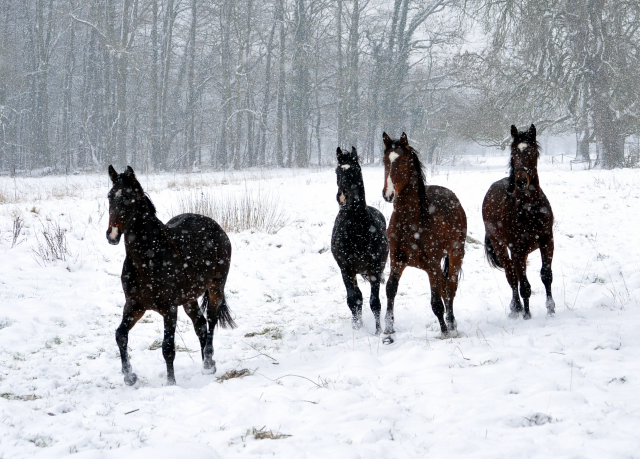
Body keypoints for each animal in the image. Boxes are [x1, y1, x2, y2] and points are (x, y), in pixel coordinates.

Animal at [106, 167, 236, 386]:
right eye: (110, 196)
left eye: (130, 198)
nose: (112, 235)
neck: (149, 260)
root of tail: (216, 227)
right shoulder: (134, 304)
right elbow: (120, 335)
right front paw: (129, 376)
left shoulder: (169, 308)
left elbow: (167, 347)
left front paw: (170, 383)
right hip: (189, 298)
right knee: (200, 325)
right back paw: (206, 364)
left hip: (216, 287)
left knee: (211, 320)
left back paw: (208, 363)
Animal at [332, 147, 388, 334]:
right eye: (337, 171)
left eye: (356, 170)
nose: (342, 197)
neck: (357, 231)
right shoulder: (346, 269)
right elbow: (353, 300)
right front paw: (356, 327)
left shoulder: (375, 269)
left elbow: (375, 302)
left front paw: (378, 331)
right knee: (358, 298)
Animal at [382, 131, 468, 344]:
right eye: (385, 161)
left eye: (404, 161)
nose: (388, 194)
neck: (411, 222)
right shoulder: (397, 260)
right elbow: (390, 289)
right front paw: (388, 329)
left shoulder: (432, 264)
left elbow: (436, 302)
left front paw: (445, 331)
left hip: (456, 254)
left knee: (450, 288)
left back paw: (451, 324)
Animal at [480, 126, 556, 320]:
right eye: (514, 152)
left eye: (533, 152)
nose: (521, 181)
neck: (529, 209)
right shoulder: (516, 249)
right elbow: (524, 285)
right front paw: (527, 314)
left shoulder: (547, 241)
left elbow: (546, 275)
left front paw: (551, 309)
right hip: (502, 248)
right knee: (512, 276)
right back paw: (516, 308)